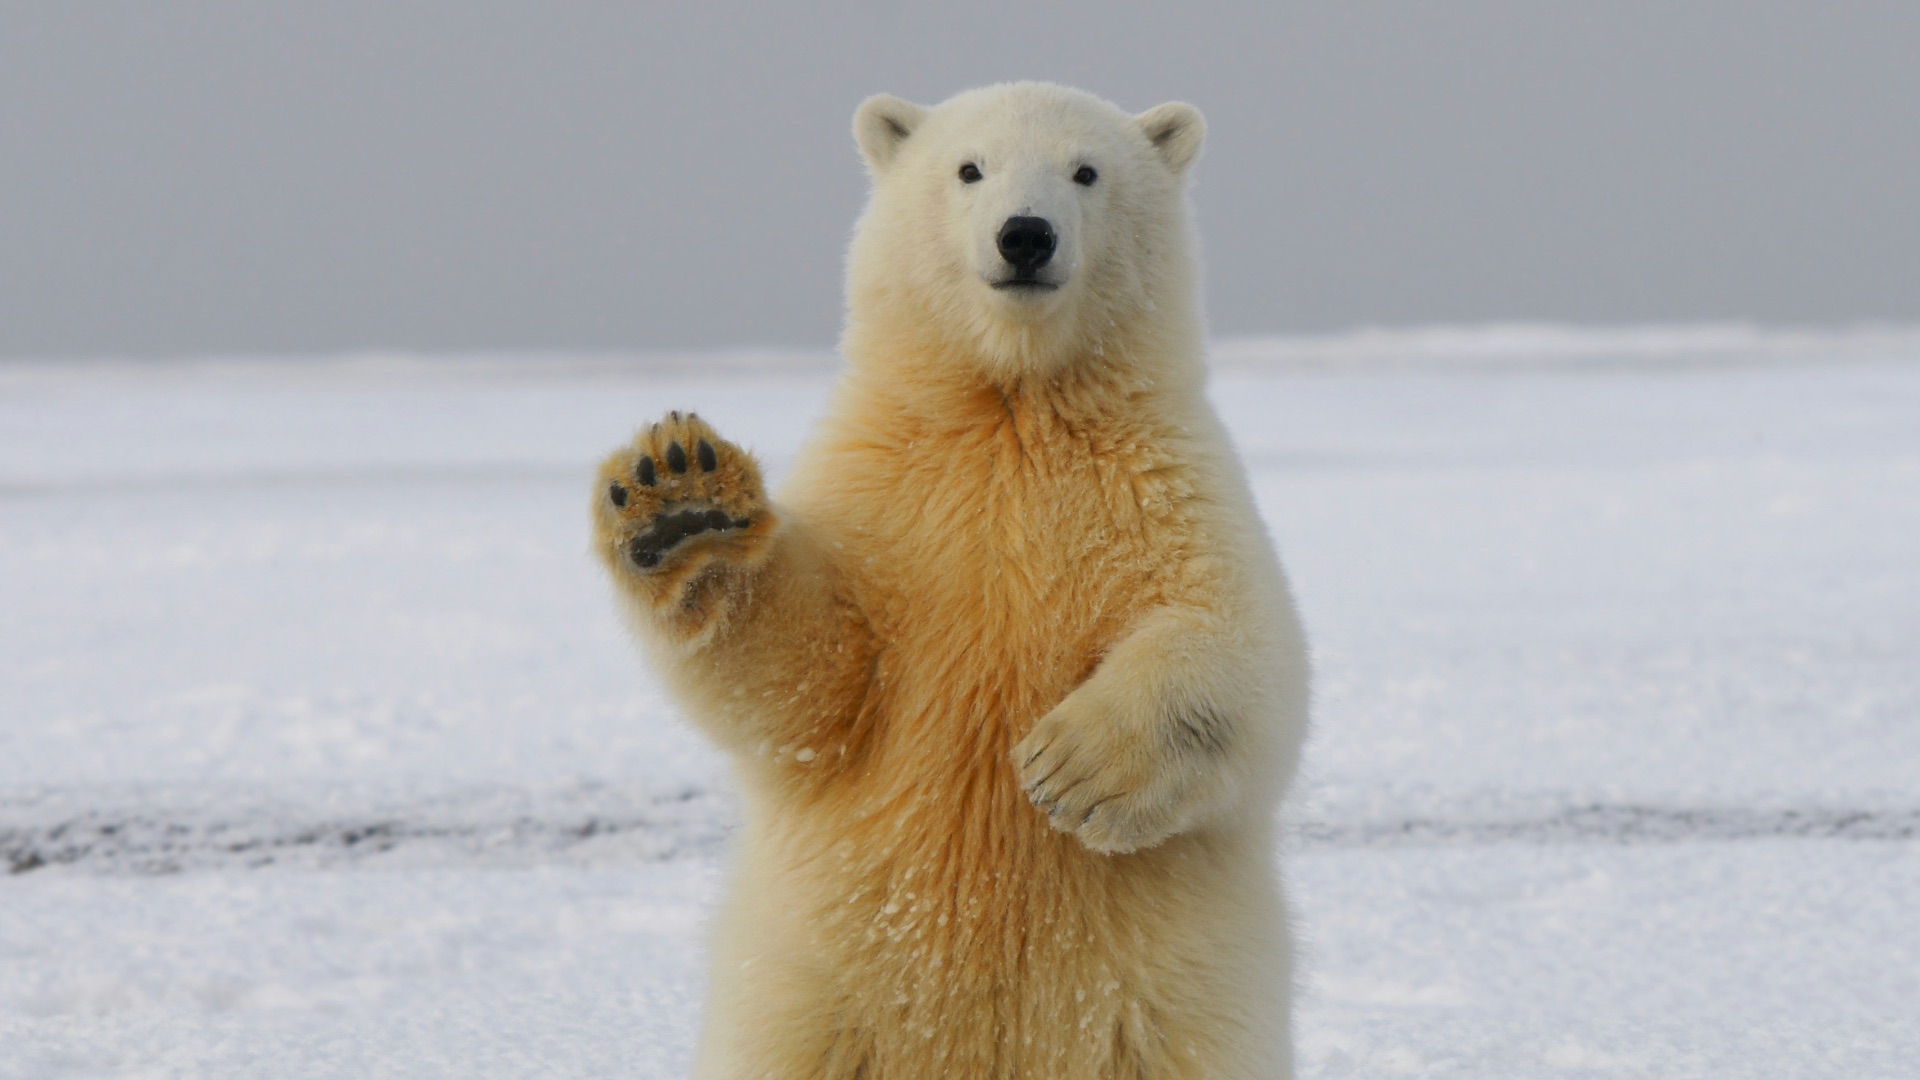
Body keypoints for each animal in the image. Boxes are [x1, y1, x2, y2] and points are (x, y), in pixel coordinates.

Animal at [592, 82, 1310, 1080]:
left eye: (1086, 171)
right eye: (969, 168)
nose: (1025, 235)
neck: (1012, 406)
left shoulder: (1166, 488)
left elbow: (1243, 650)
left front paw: (1069, 768)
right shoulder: (886, 498)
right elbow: (810, 682)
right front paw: (681, 499)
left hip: (1167, 1015)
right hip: (811, 999)